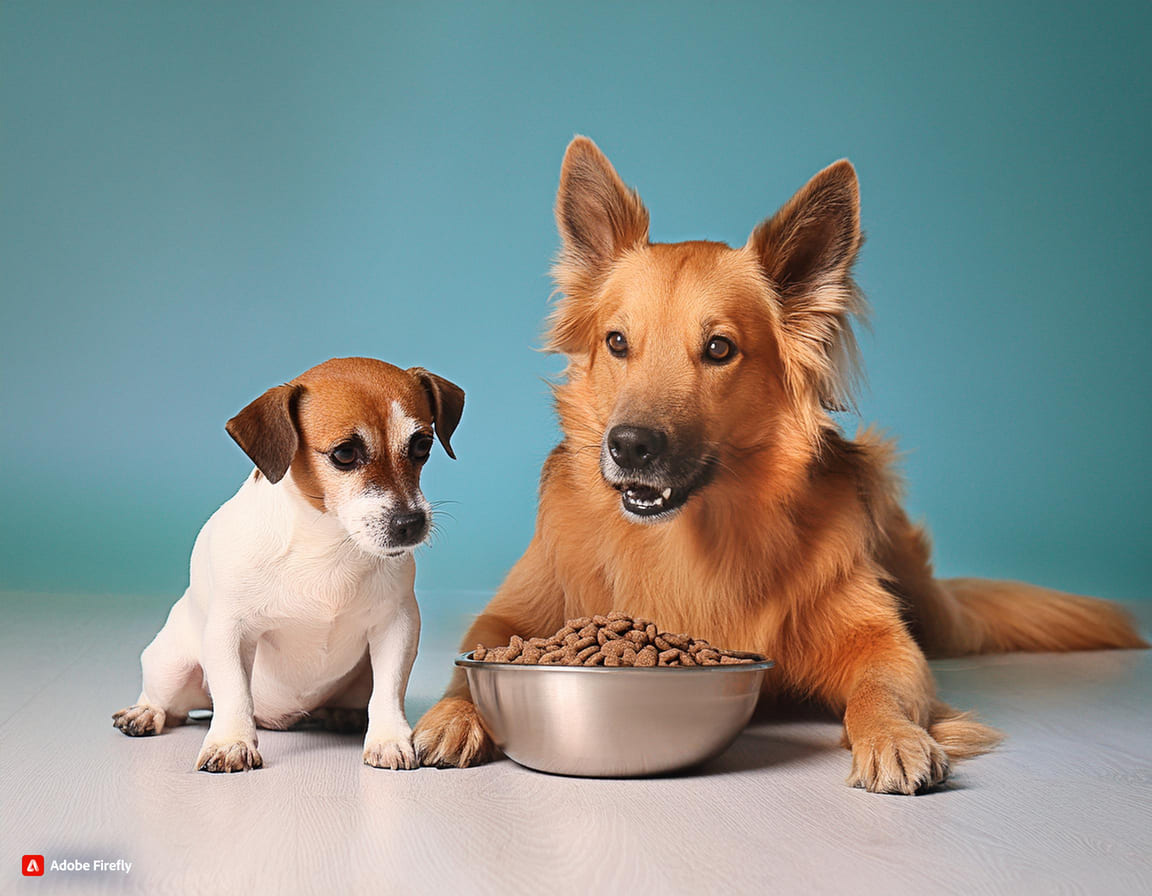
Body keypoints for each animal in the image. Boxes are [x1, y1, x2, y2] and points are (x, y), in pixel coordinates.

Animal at [113, 354, 463, 769]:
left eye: (422, 445)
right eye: (345, 454)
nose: (410, 523)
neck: (328, 543)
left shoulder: (396, 627)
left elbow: (389, 691)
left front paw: (389, 738)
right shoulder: (230, 633)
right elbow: (234, 692)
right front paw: (231, 742)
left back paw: (343, 715)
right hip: (172, 668)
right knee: (172, 705)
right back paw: (144, 712)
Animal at [412, 135, 1142, 792]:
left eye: (719, 349)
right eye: (617, 342)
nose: (629, 446)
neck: (685, 542)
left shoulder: (883, 641)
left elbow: (880, 689)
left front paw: (894, 738)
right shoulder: (514, 614)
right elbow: (470, 660)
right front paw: (451, 717)